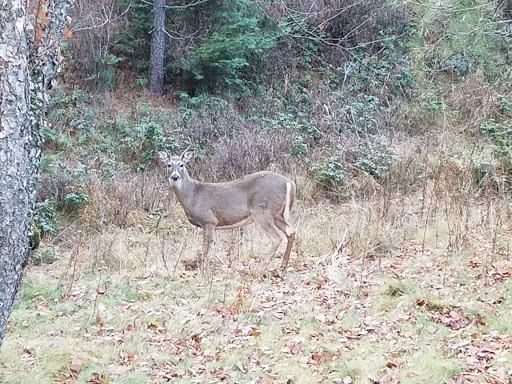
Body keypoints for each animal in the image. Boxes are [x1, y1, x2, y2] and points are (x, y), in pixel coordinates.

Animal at [159, 142, 296, 272]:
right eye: (168, 165)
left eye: (182, 165)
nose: (175, 176)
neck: (193, 195)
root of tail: (289, 182)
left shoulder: (209, 220)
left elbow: (206, 248)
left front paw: (204, 271)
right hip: (277, 214)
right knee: (291, 231)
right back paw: (283, 265)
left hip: (262, 211)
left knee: (276, 238)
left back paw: (260, 269)